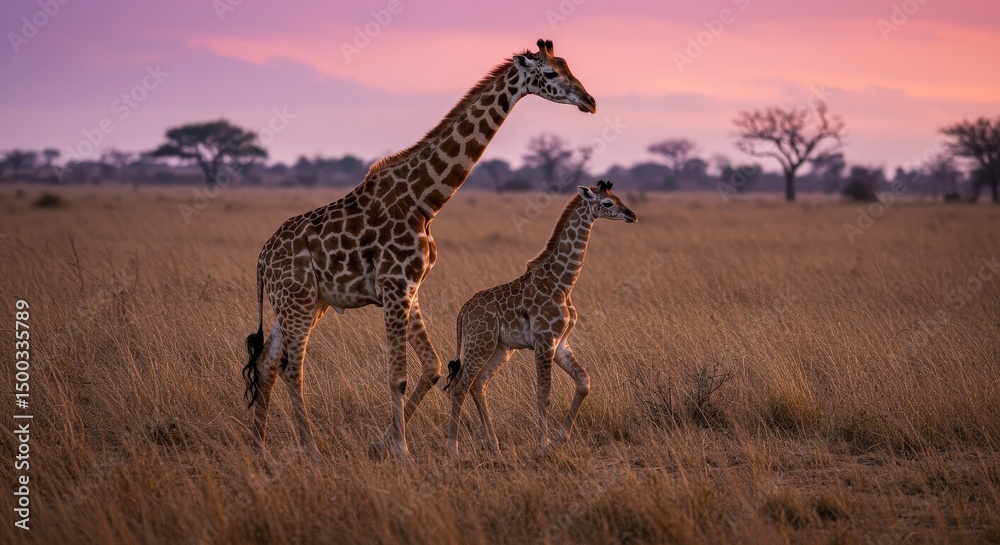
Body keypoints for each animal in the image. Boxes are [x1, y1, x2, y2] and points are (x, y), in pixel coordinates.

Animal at [242, 39, 596, 461]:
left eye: (569, 66)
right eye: (550, 73)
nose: (590, 101)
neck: (424, 202)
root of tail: (262, 259)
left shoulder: (409, 289)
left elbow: (432, 367)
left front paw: (381, 443)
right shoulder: (396, 287)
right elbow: (397, 375)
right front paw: (401, 450)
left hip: (306, 302)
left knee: (268, 362)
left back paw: (259, 446)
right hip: (297, 300)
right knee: (291, 367)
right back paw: (310, 449)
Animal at [442, 181, 636, 456]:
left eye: (618, 197)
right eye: (607, 202)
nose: (632, 215)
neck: (563, 282)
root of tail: (462, 313)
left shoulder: (560, 343)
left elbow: (584, 382)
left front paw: (560, 438)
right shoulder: (545, 342)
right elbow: (543, 394)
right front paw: (542, 444)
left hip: (500, 349)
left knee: (478, 385)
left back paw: (494, 445)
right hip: (479, 344)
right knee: (460, 386)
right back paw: (453, 447)